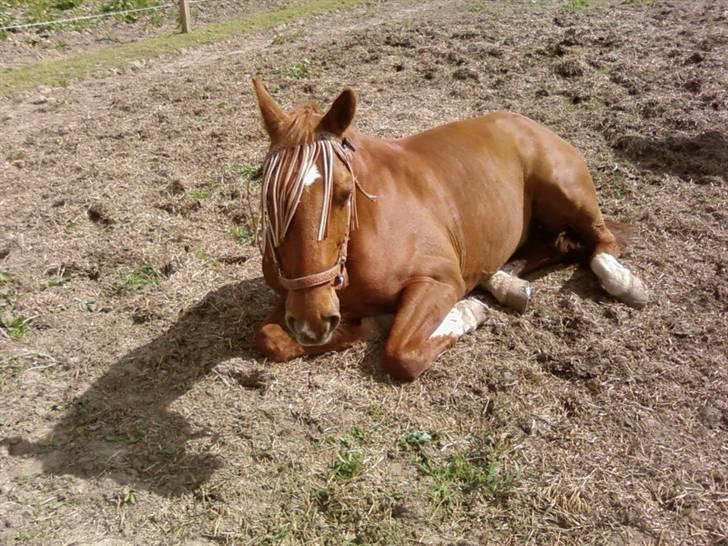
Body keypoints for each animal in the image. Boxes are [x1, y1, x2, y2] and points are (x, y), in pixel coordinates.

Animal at [250, 77, 648, 378]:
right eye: (268, 196)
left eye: (345, 193)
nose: (312, 321)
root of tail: (526, 121)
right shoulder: (291, 300)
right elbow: (270, 338)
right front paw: (368, 323)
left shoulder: (439, 281)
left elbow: (401, 353)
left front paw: (467, 312)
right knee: (546, 246)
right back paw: (506, 283)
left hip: (566, 193)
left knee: (601, 241)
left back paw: (623, 282)